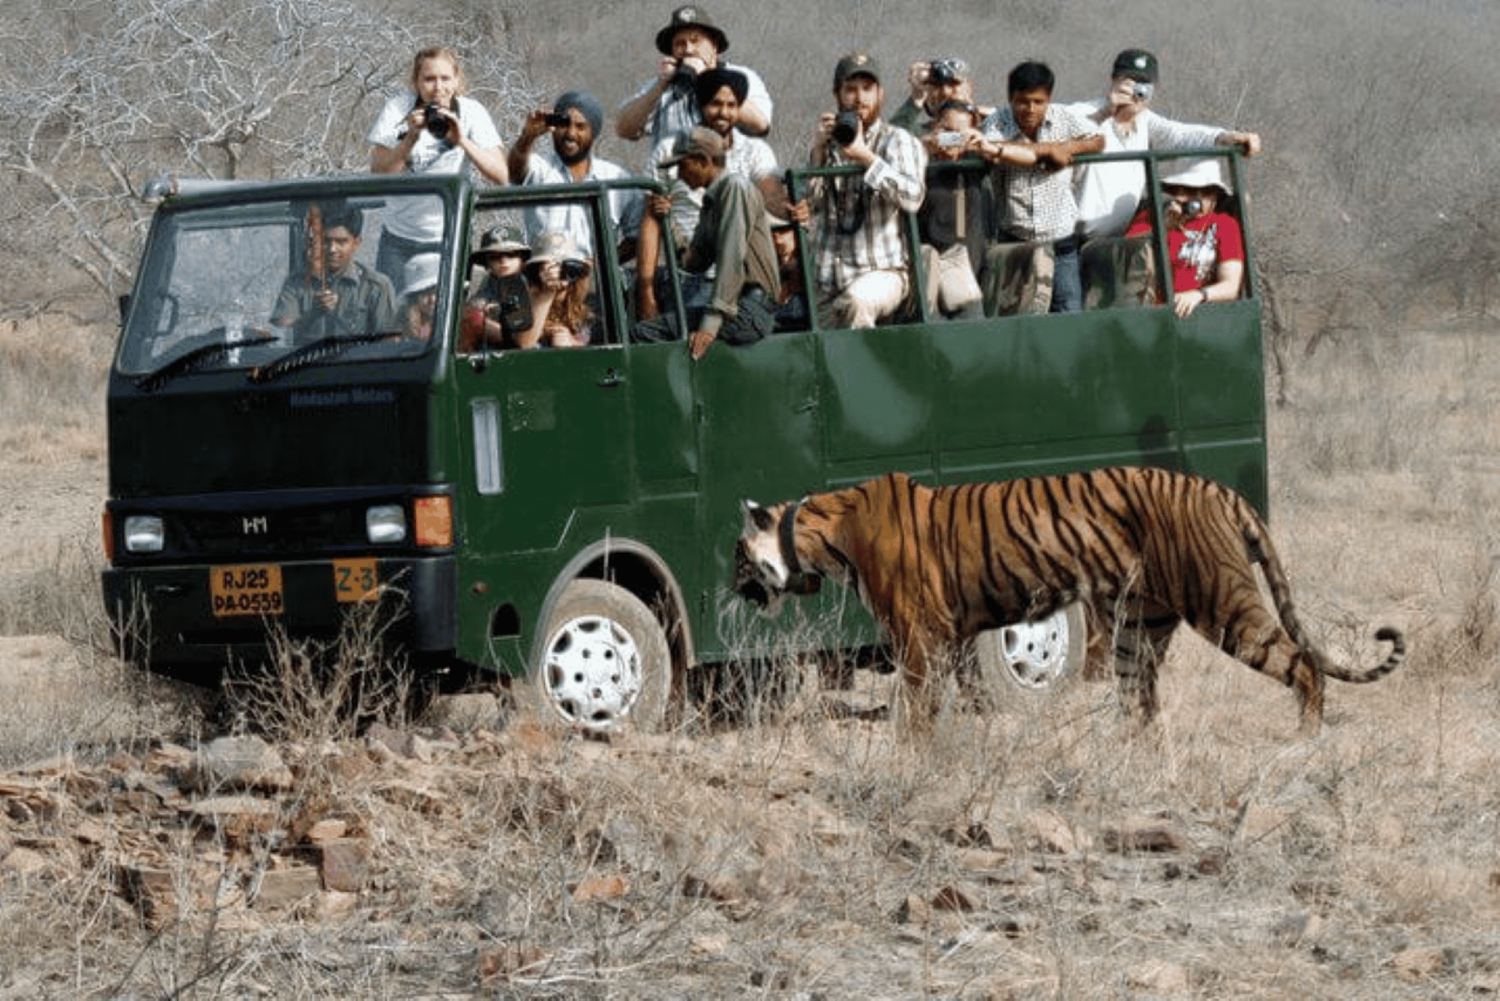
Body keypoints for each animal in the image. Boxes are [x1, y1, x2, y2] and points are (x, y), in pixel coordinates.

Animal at [733, 467, 1404, 734]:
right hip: (1140, 626)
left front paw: (914, 754)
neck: (818, 533)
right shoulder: (945, 636)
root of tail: (1220, 489)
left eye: (736, 556)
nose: (731, 588)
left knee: (1303, 664)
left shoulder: (917, 635)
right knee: (1141, 705)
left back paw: (1306, 740)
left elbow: (917, 708)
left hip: (1223, 604)